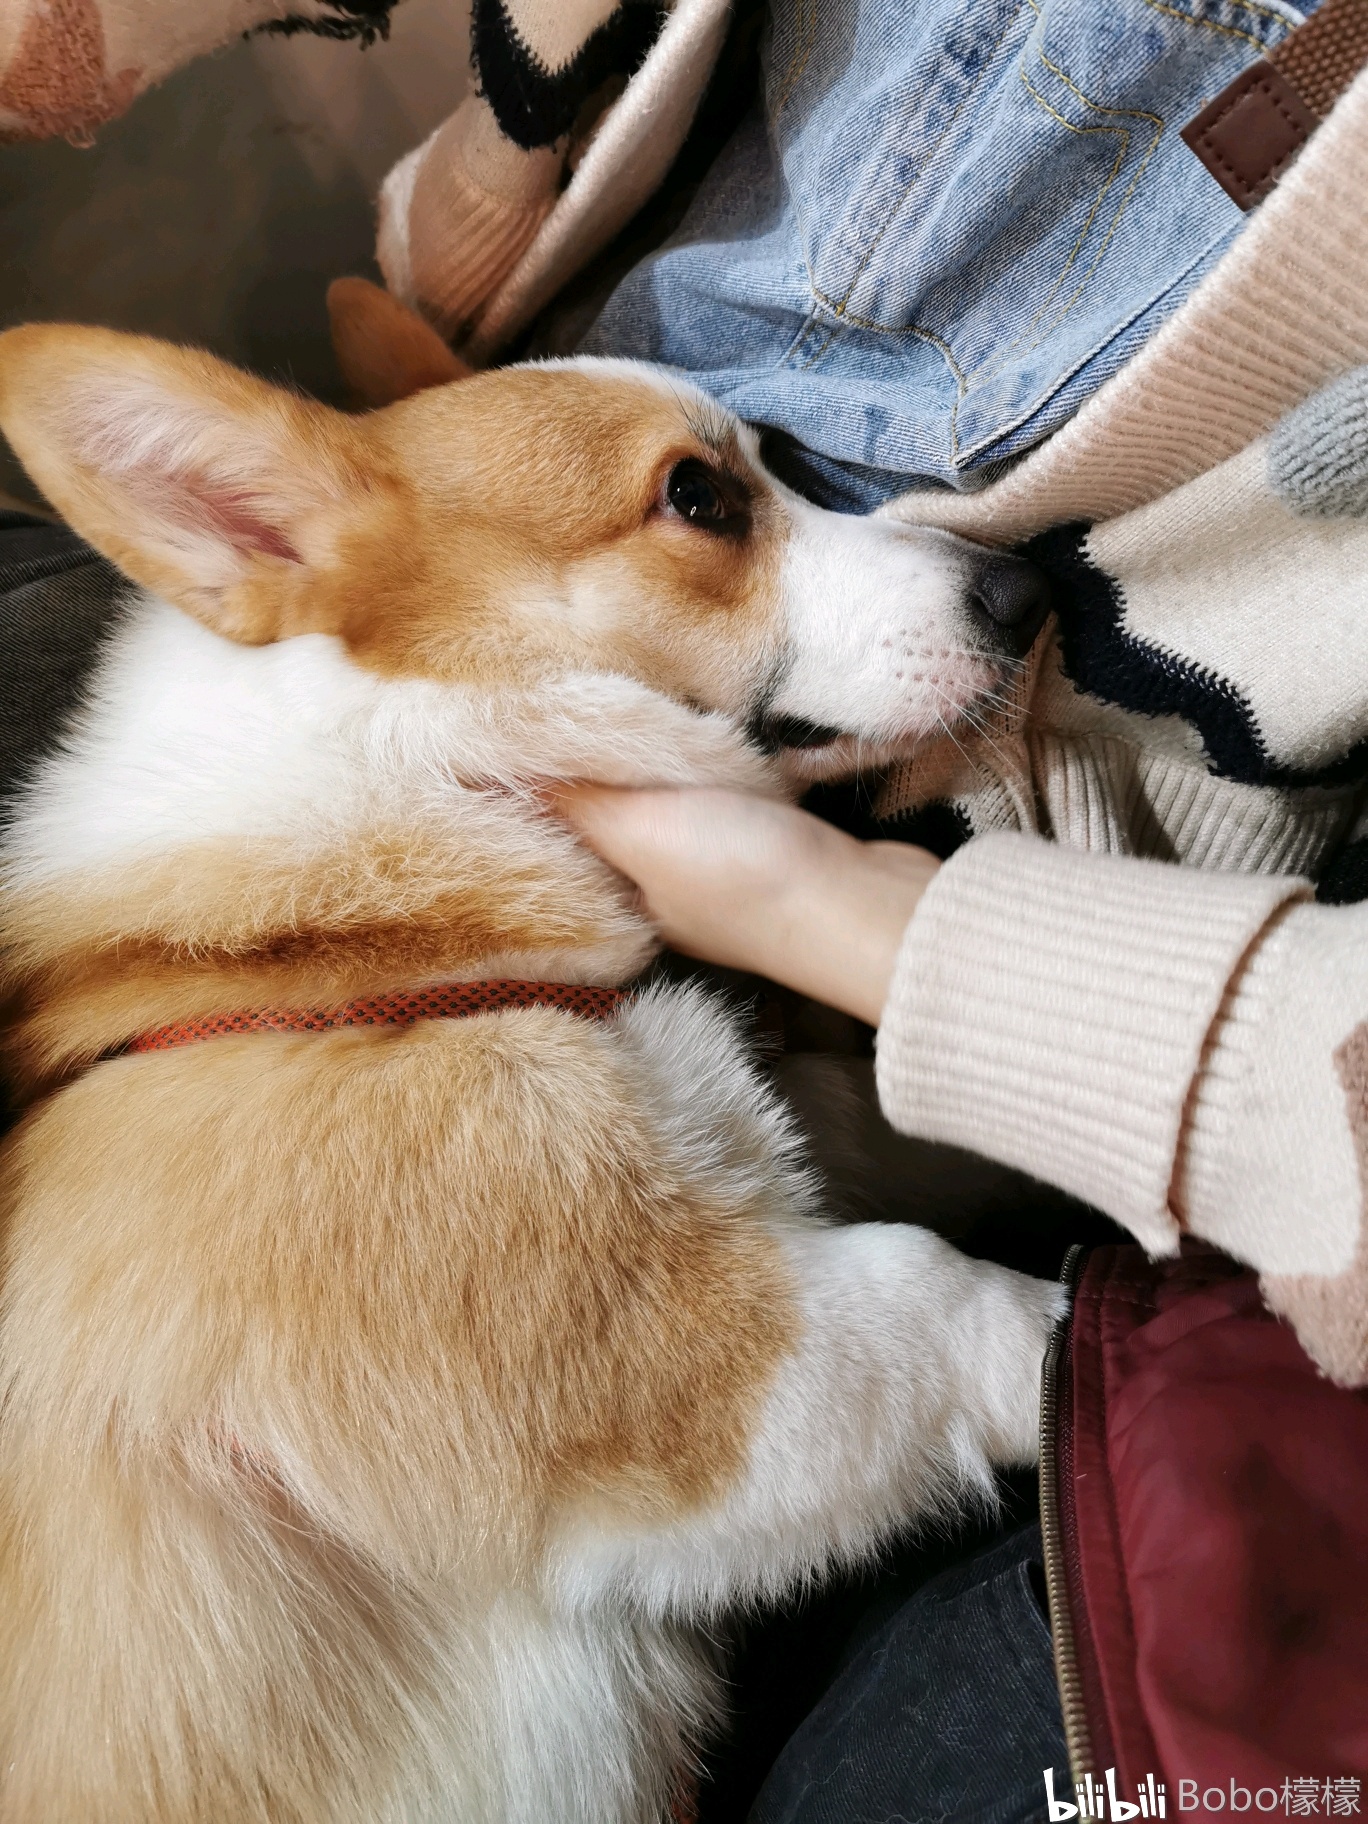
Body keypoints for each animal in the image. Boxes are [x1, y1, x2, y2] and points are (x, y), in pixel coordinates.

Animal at [0, 317, 1057, 1824]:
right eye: (698, 498)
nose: (1033, 585)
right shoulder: (722, 1365)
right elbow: (964, 1300)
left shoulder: (774, 1127)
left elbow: (911, 1120)